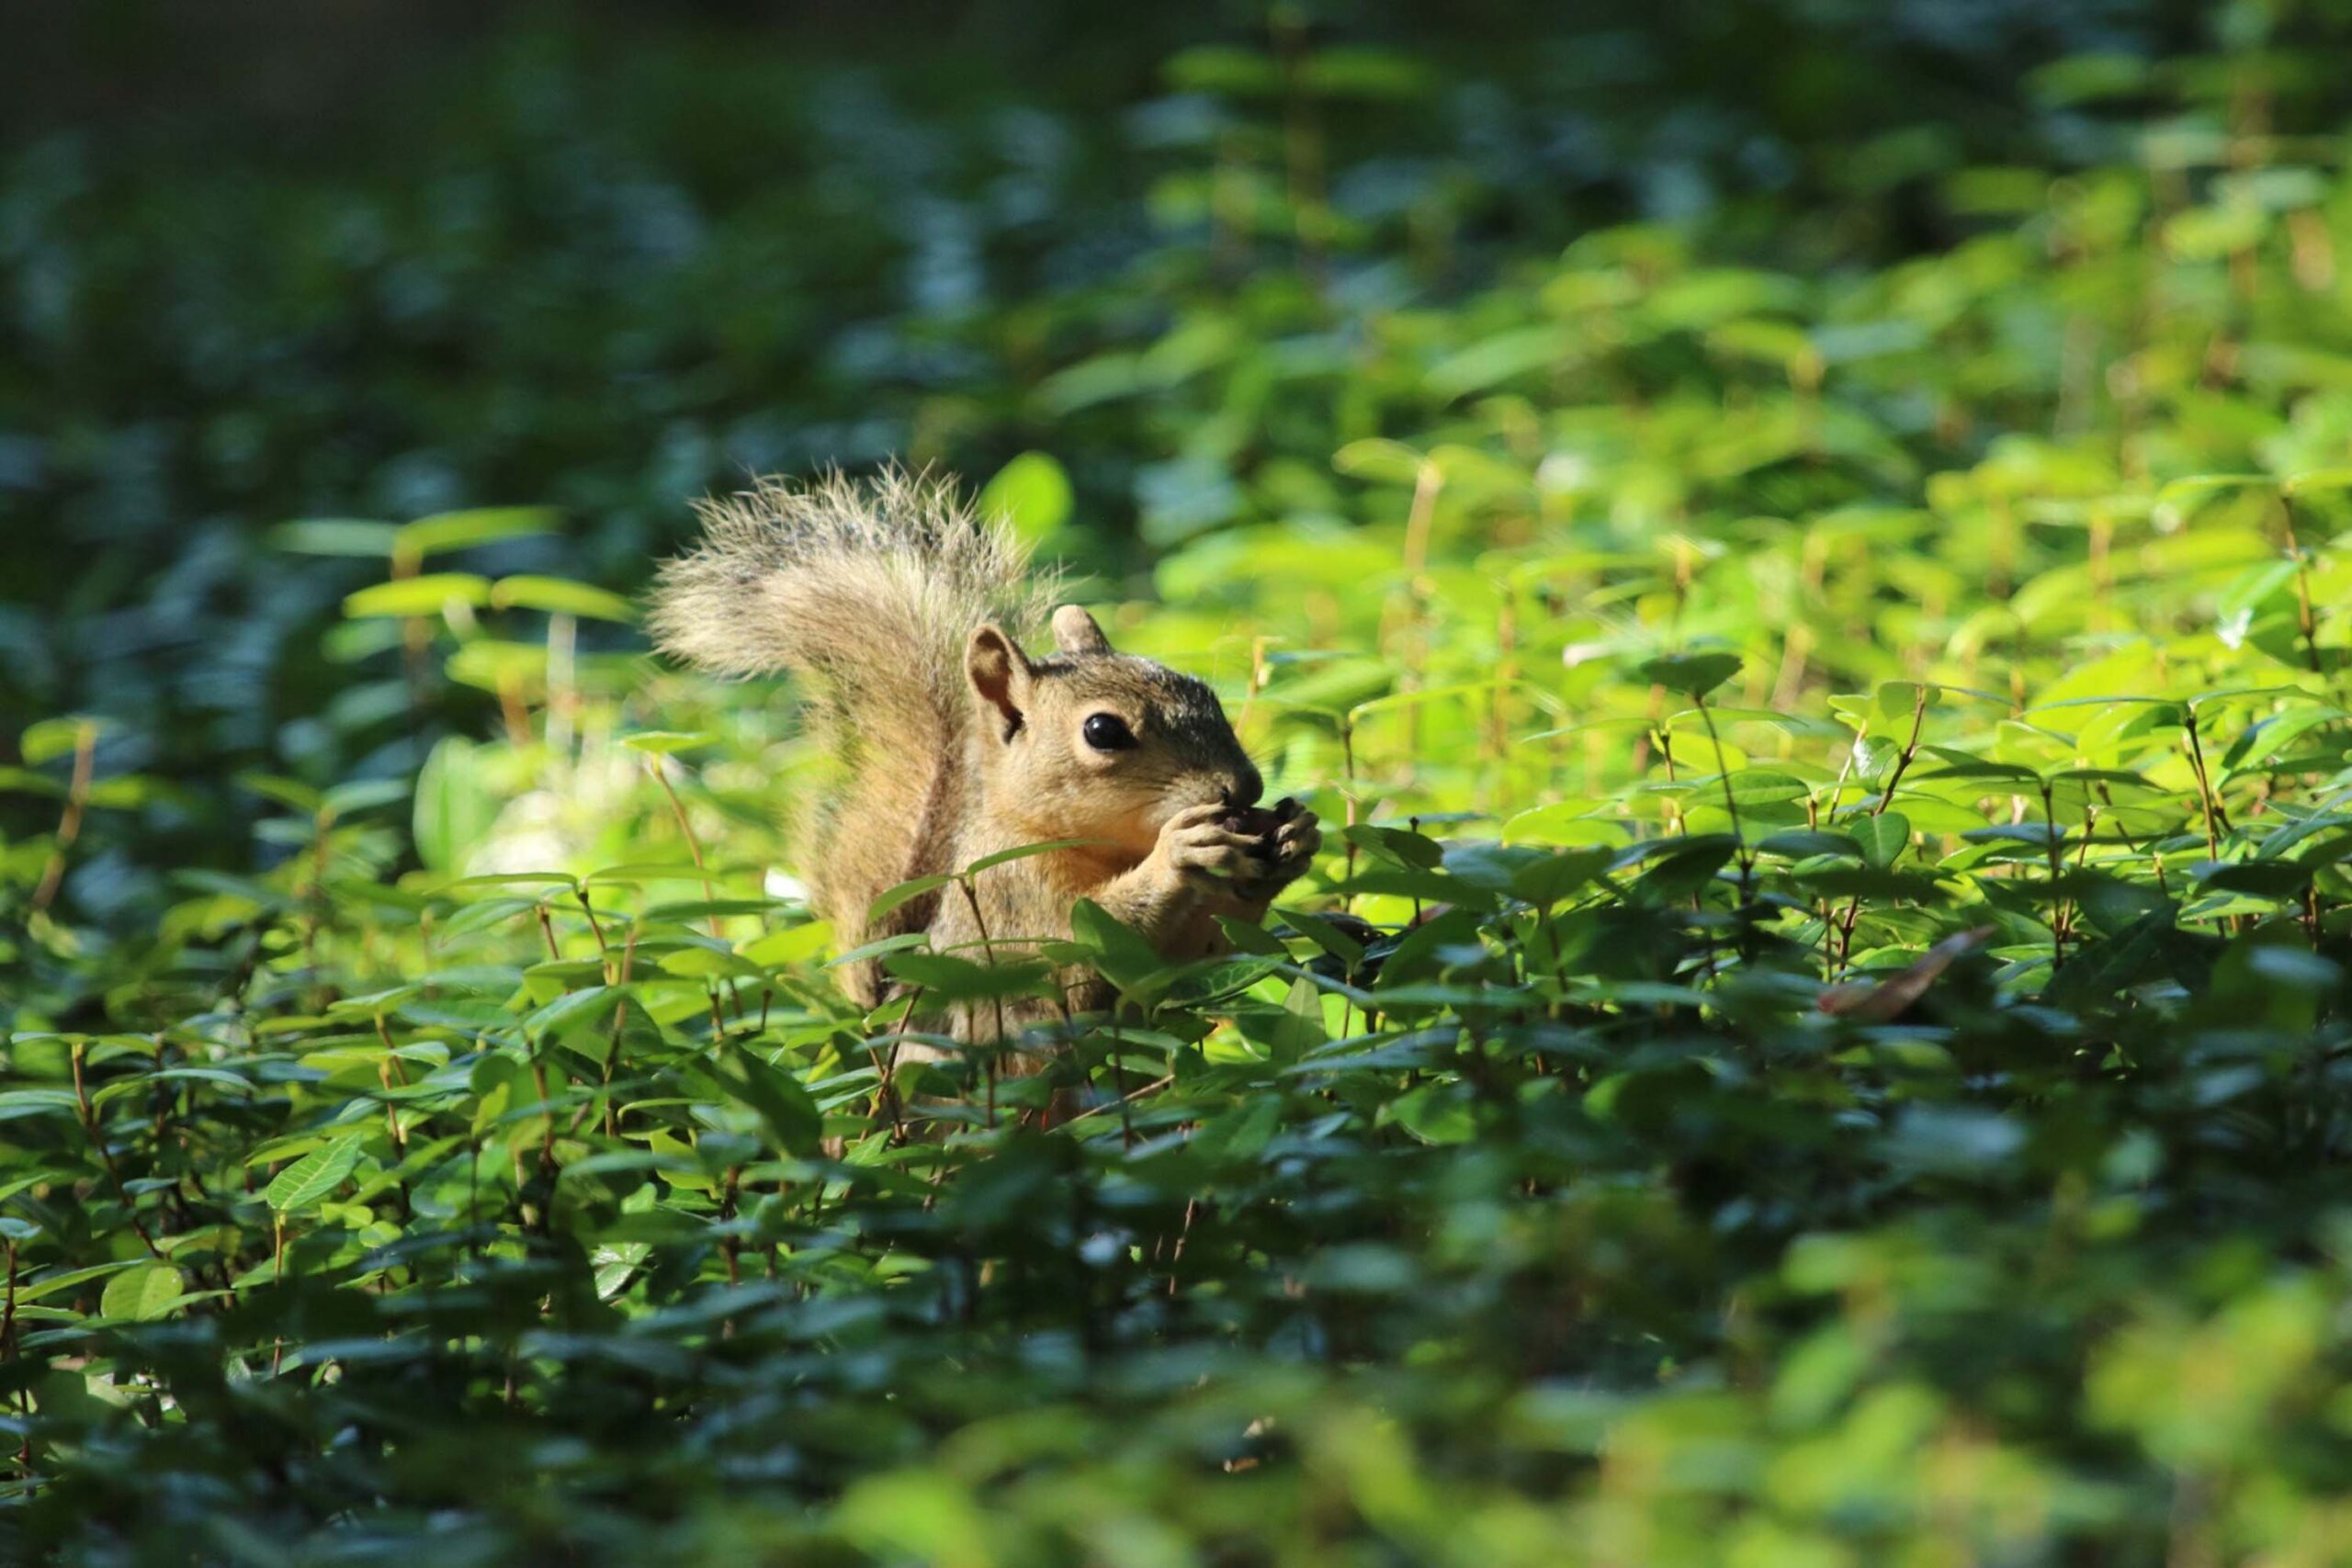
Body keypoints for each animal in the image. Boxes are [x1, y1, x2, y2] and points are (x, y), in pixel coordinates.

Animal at [648, 469, 1321, 1062]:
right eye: (1102, 730)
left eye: (1205, 691)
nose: (1245, 786)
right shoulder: (1011, 896)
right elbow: (1081, 956)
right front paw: (1180, 852)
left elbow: (1193, 960)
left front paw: (1295, 837)